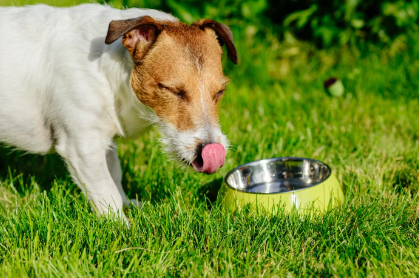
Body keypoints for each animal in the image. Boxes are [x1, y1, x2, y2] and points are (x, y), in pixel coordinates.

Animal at [0, 3, 236, 222]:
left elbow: (115, 173)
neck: (105, 71)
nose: (211, 150)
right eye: (173, 90)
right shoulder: (82, 146)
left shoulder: (106, 140)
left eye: (220, 92)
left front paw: (126, 205)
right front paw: (120, 226)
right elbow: (105, 189)